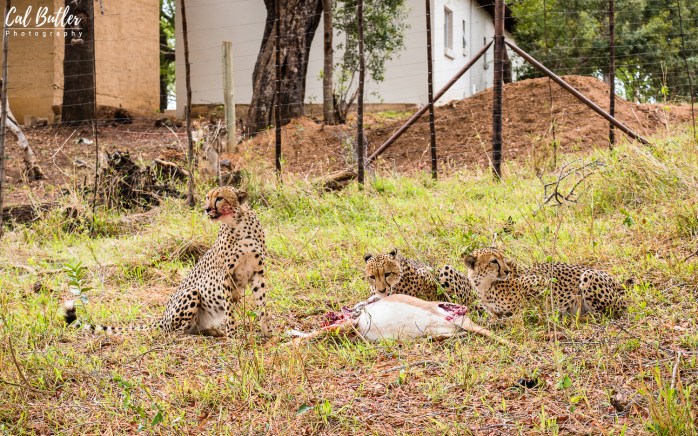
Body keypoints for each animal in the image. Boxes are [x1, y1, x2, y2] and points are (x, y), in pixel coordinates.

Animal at [64, 186, 270, 337]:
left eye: (219, 198)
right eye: (207, 198)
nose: (206, 209)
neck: (238, 223)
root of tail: (162, 318)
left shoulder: (258, 272)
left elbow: (262, 304)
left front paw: (268, 333)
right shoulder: (225, 276)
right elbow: (229, 311)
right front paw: (234, 335)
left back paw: (212, 331)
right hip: (192, 292)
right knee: (175, 332)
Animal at [462, 247, 627, 318]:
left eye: (503, 259)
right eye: (493, 261)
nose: (507, 271)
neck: (485, 287)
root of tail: (614, 280)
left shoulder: (541, 280)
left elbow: (529, 304)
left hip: (589, 275)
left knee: (612, 311)